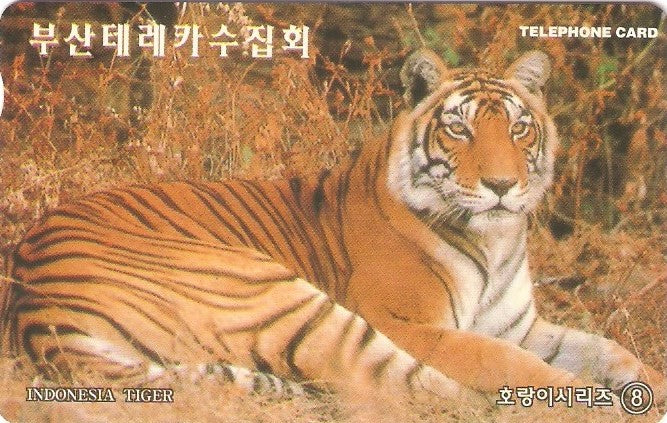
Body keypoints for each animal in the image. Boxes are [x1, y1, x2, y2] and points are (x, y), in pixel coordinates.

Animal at [1, 49, 665, 402]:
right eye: (459, 128)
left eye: (518, 128)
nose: (502, 186)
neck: (498, 240)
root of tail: (32, 307)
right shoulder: (405, 320)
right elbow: (507, 365)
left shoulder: (518, 325)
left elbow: (608, 348)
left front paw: (646, 385)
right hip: (279, 292)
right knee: (406, 387)